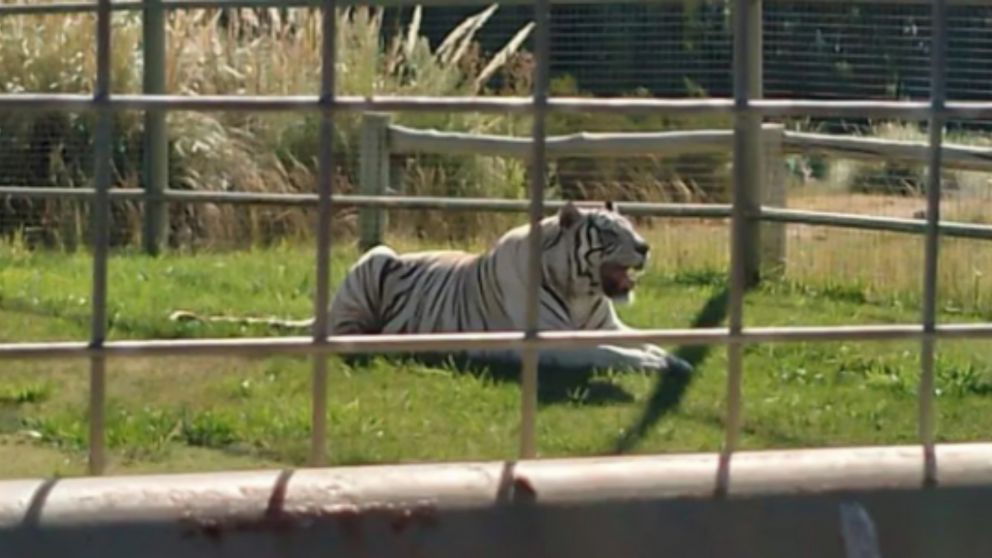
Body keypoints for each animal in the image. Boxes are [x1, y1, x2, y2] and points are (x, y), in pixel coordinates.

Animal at [170, 201, 692, 375]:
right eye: (608, 233)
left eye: (633, 227)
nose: (645, 247)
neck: (581, 290)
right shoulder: (552, 344)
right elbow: (614, 354)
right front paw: (657, 364)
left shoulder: (610, 324)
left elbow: (639, 340)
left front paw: (675, 358)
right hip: (374, 259)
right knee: (349, 335)